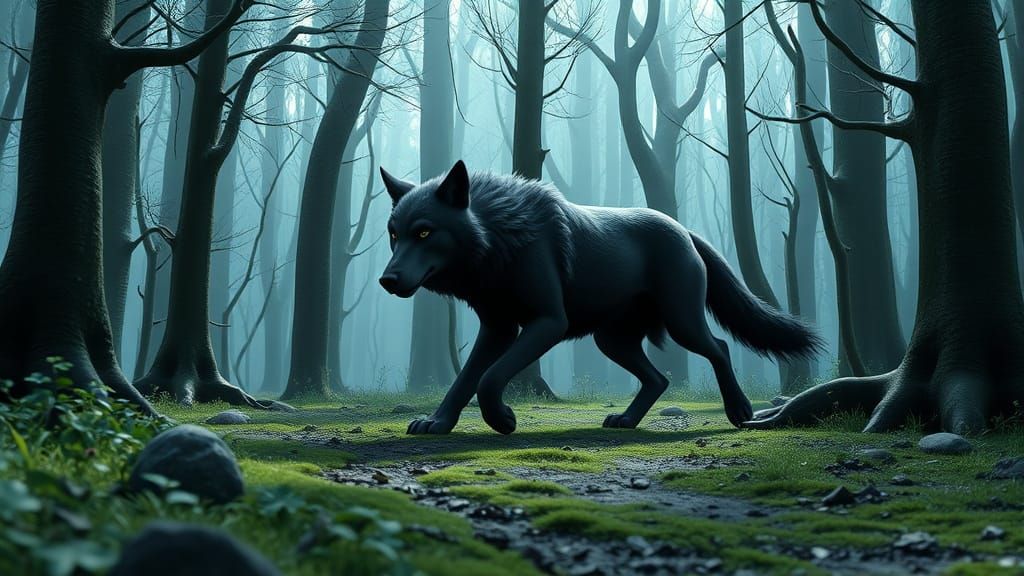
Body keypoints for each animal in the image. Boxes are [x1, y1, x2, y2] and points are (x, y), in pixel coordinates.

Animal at [378, 161, 822, 435]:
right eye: (394, 234)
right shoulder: (498, 328)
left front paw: (503, 419)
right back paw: (626, 420)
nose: (386, 279)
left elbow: (488, 380)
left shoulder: (547, 323)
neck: (500, 236)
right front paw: (437, 423)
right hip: (611, 340)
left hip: (682, 324)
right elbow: (466, 379)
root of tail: (684, 229)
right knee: (659, 378)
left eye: (424, 232)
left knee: (720, 348)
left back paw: (739, 411)